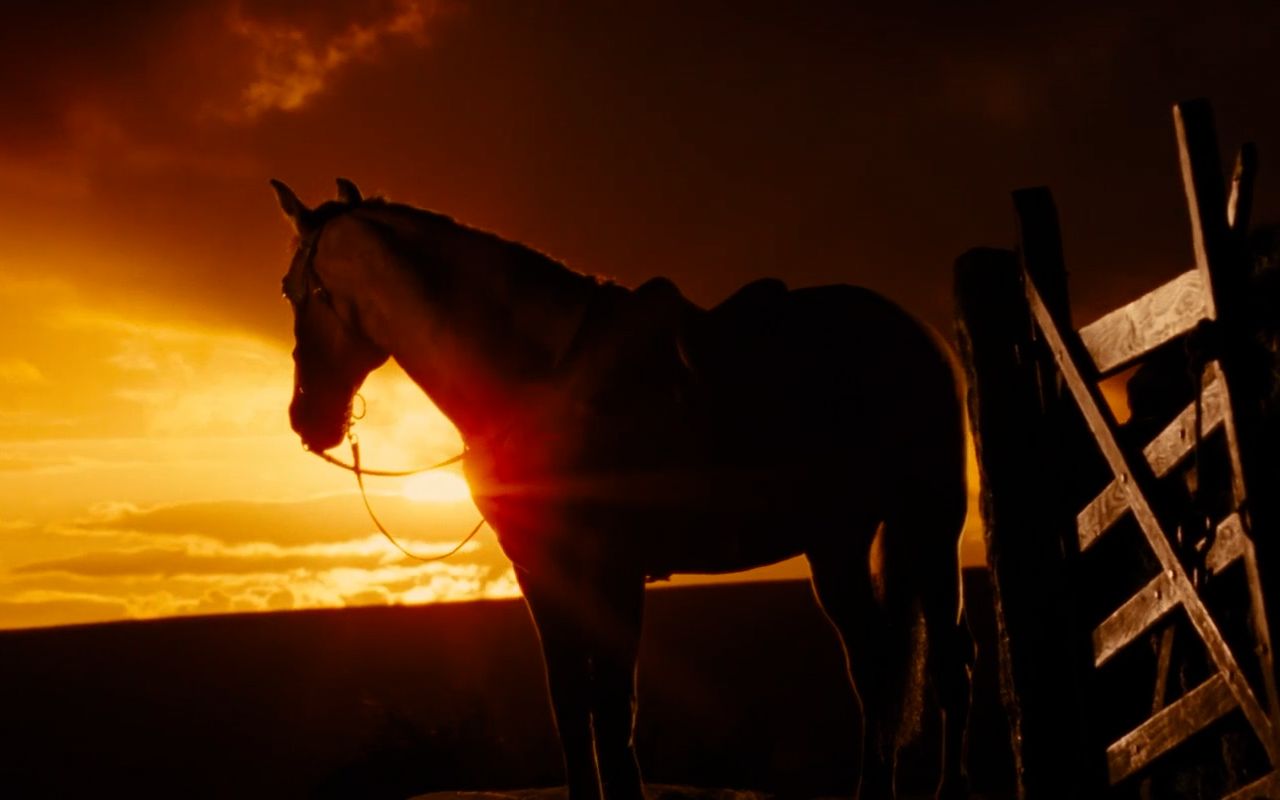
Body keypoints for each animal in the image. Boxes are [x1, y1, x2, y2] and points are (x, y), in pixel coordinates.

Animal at [270, 177, 967, 793]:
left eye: (293, 290)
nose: (306, 419)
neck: (539, 381)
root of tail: (918, 334)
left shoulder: (613, 570)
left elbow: (611, 712)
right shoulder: (539, 571)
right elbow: (571, 710)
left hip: (930, 530)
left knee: (948, 665)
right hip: (835, 543)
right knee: (873, 667)